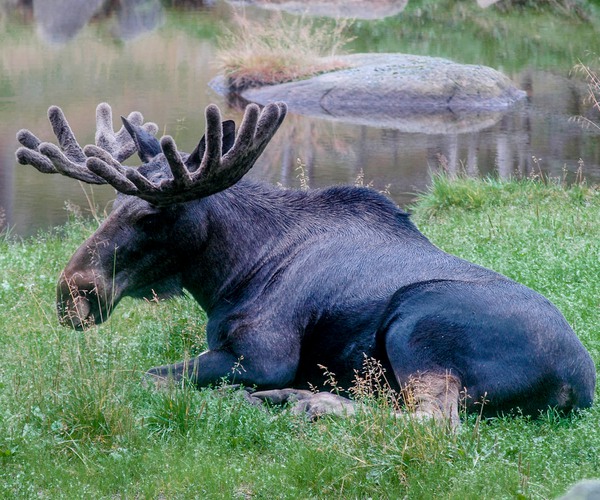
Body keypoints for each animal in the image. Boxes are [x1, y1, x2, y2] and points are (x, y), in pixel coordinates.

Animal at [15, 100, 596, 426]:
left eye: (154, 213)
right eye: (115, 201)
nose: (73, 292)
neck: (230, 275)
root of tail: (580, 384)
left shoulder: (264, 354)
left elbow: (149, 377)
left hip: (418, 325)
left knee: (432, 423)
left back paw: (307, 403)